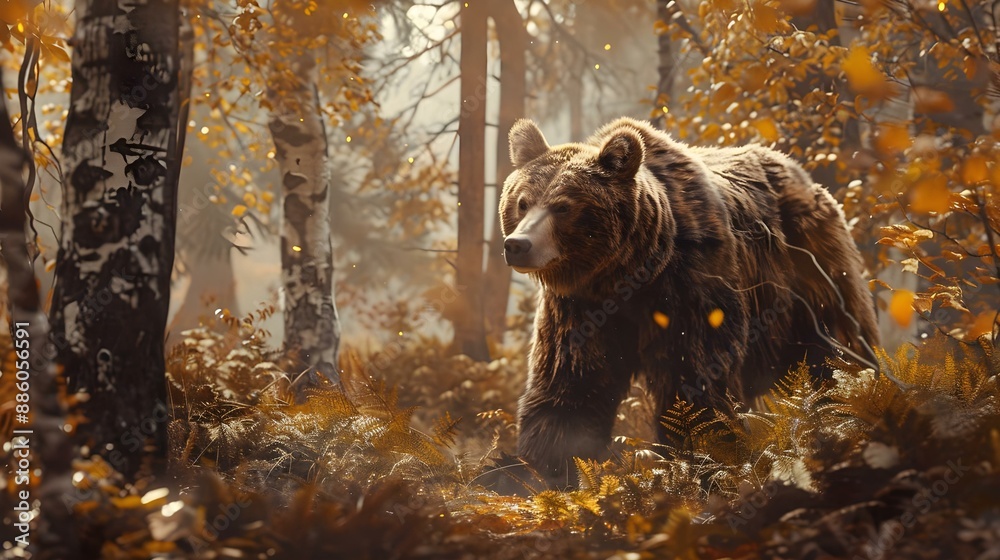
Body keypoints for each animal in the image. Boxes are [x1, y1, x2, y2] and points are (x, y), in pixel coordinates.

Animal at [498, 116, 880, 488]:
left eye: (563, 206)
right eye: (523, 201)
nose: (518, 244)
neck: (629, 272)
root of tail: (807, 180)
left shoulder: (691, 286)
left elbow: (694, 376)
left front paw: (707, 462)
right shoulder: (581, 306)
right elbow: (572, 378)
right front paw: (542, 468)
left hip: (811, 270)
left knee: (837, 349)